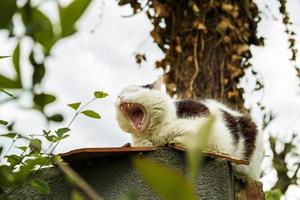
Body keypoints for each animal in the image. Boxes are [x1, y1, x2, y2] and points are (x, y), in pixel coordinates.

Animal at [115, 79, 262, 179]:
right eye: (118, 95)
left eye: (135, 91)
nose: (120, 97)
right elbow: (139, 142)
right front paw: (145, 143)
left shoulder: (212, 133)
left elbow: (177, 133)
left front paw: (166, 139)